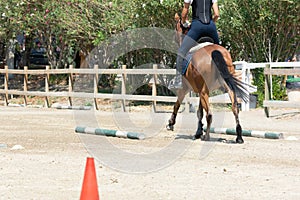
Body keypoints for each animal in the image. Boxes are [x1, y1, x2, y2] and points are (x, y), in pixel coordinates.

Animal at [166, 14, 248, 144]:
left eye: (176, 28)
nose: (174, 39)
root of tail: (216, 51)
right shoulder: (199, 91)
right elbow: (199, 112)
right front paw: (198, 132)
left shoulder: (186, 89)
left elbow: (177, 105)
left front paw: (171, 123)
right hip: (227, 88)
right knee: (235, 109)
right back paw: (239, 137)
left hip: (205, 91)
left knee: (209, 114)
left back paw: (207, 137)